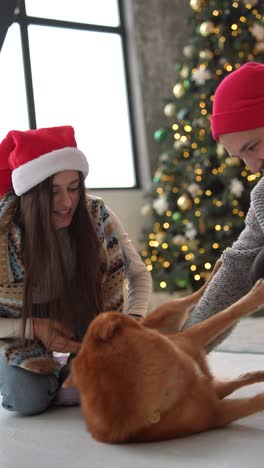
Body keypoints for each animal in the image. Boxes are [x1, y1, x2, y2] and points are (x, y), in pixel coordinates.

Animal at [64, 264, 264, 442]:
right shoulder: (218, 412)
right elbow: (255, 400)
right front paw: (257, 295)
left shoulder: (190, 342)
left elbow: (227, 313)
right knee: (231, 381)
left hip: (170, 312)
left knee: (193, 297)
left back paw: (215, 269)